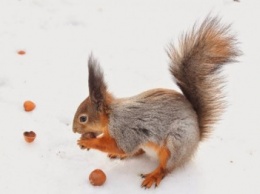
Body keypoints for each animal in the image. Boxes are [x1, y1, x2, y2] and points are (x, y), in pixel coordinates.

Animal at [72, 15, 240, 189]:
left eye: (83, 118)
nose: (74, 129)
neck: (110, 116)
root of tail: (196, 140)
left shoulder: (125, 130)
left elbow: (121, 146)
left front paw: (88, 142)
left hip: (176, 143)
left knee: (166, 167)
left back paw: (154, 175)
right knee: (139, 151)